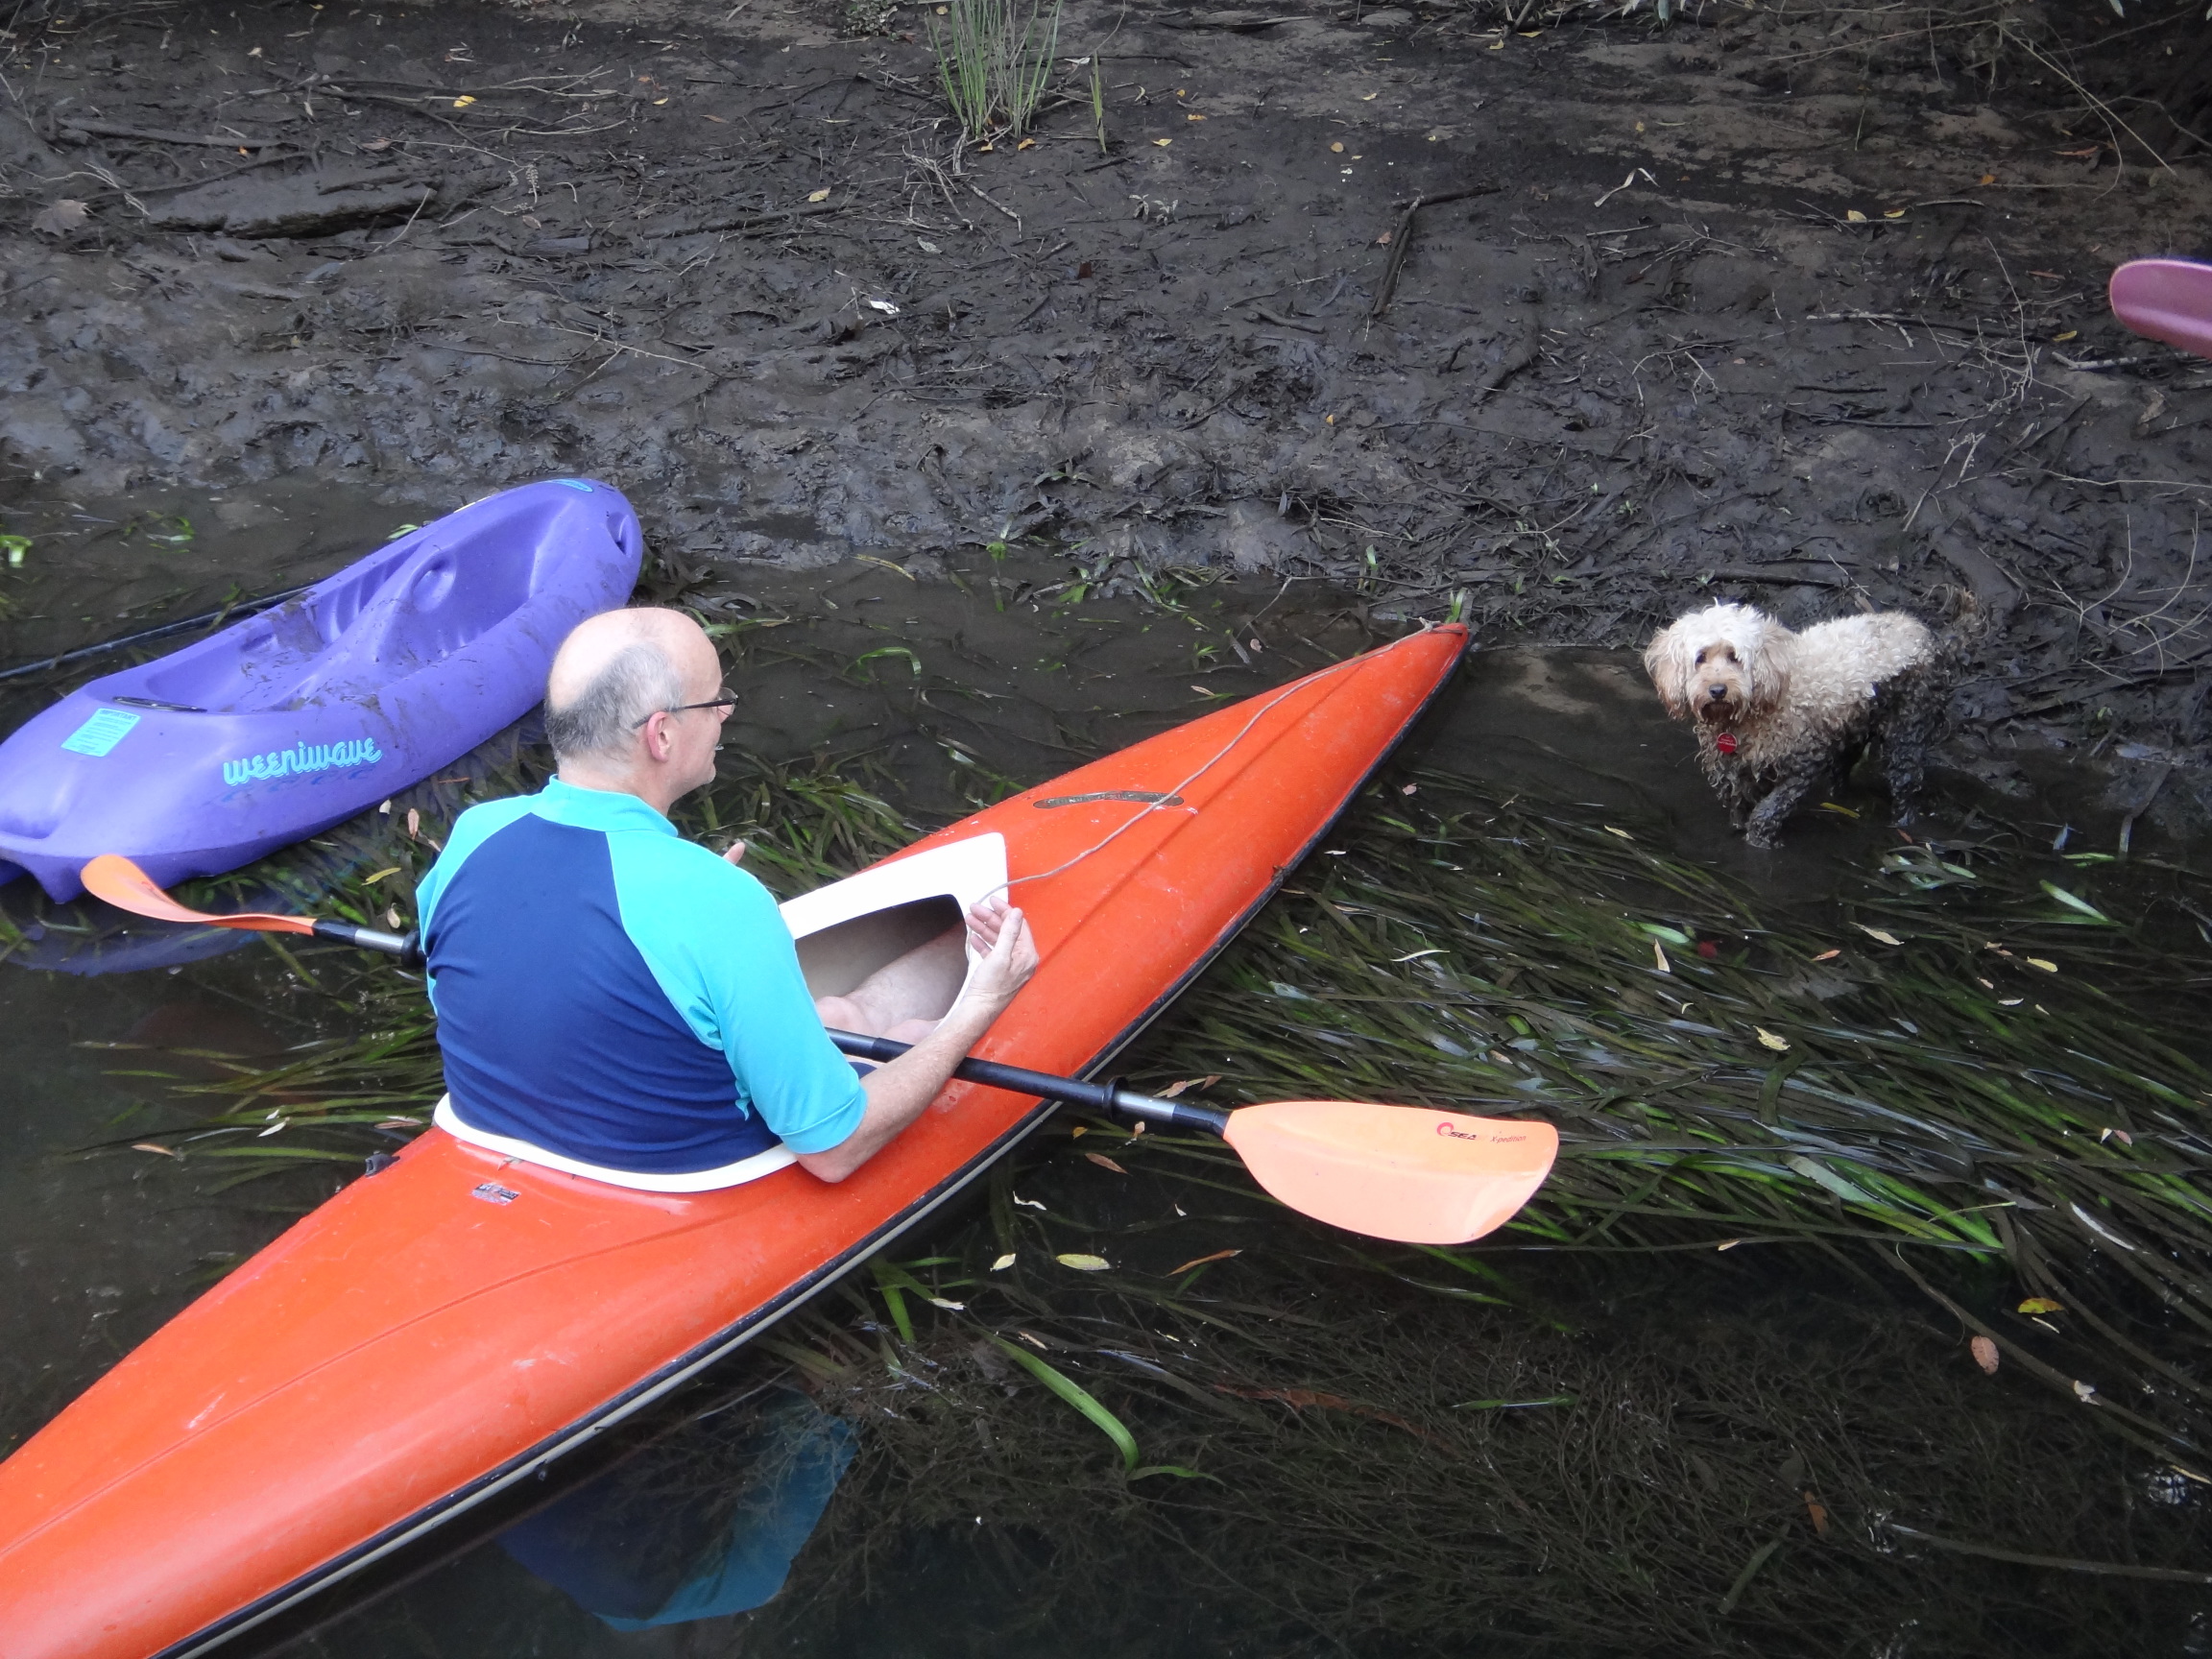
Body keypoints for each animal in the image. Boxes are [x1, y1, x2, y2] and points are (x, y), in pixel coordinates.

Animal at [1642, 597, 1970, 849]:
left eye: (1735, 657)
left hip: (1909, 727)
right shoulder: (1739, 772)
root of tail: (1927, 634)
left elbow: (1768, 811)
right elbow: (1740, 809)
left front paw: (1761, 841)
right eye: (1700, 658)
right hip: (1852, 728)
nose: (1718, 690)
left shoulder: (1803, 763)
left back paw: (1903, 825)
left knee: (1906, 785)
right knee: (1843, 770)